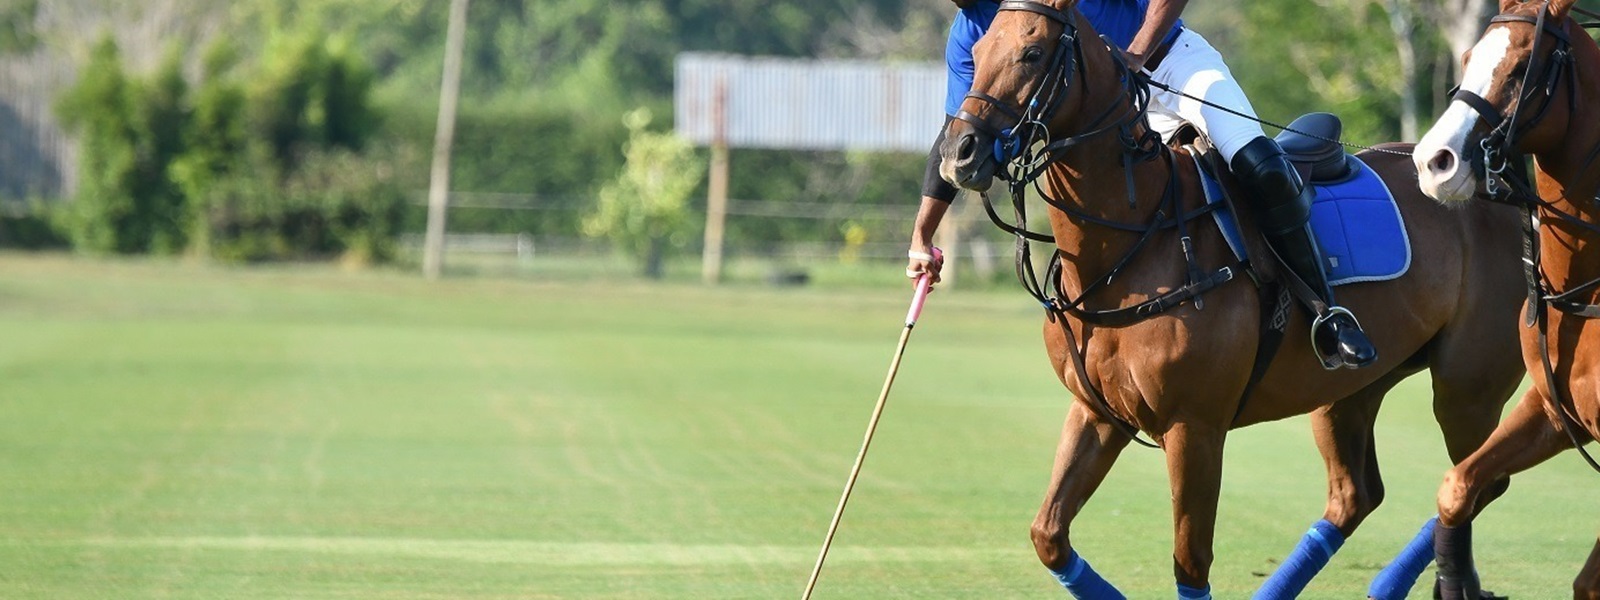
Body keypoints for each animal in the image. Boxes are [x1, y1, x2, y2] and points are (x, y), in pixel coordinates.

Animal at [940, 0, 1529, 598]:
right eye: (975, 53)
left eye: (1032, 52)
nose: (960, 152)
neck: (1135, 242)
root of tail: (1502, 193)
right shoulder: (1096, 413)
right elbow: (1048, 534)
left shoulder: (1194, 427)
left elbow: (1190, 560)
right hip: (1349, 389)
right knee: (1357, 495)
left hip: (1467, 385)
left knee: (1479, 479)